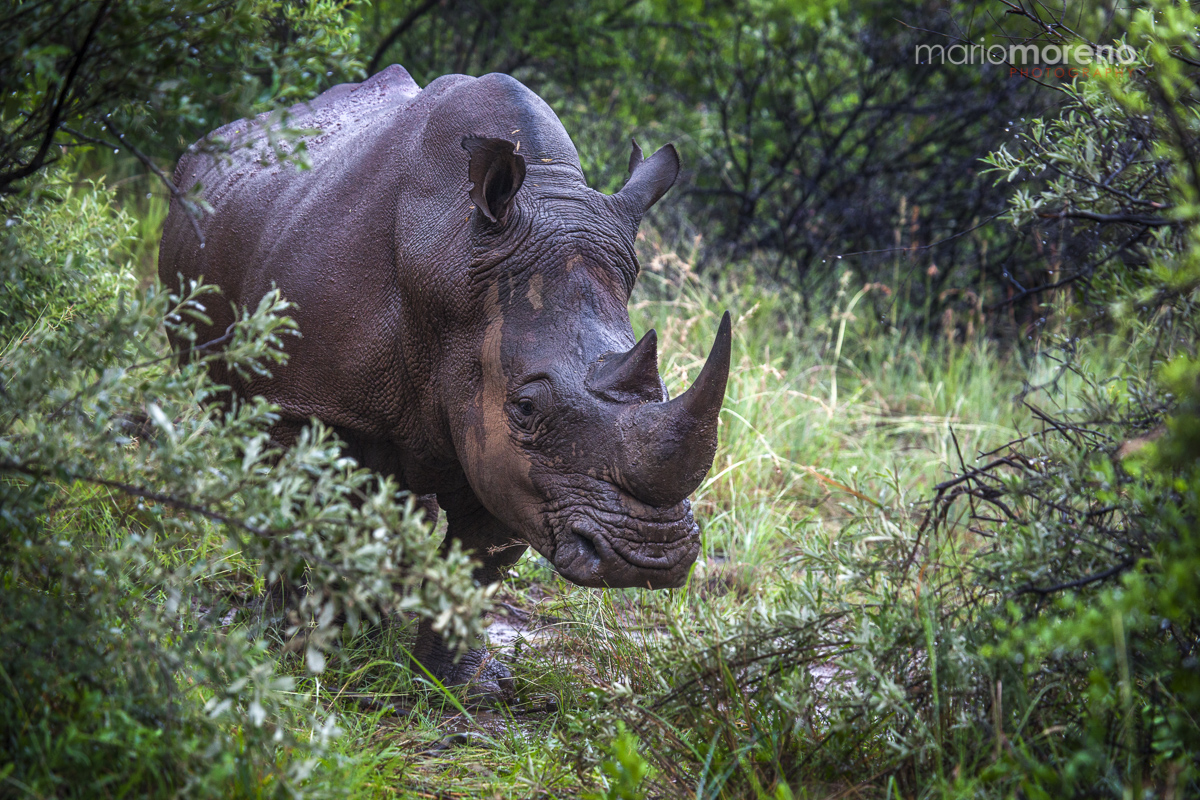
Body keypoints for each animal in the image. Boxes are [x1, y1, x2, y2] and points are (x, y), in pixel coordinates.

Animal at [159, 65, 731, 697]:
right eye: (526, 407)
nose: (649, 560)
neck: (454, 259)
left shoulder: (510, 457)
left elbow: (477, 562)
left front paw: (456, 684)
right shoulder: (308, 404)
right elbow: (311, 513)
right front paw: (309, 646)